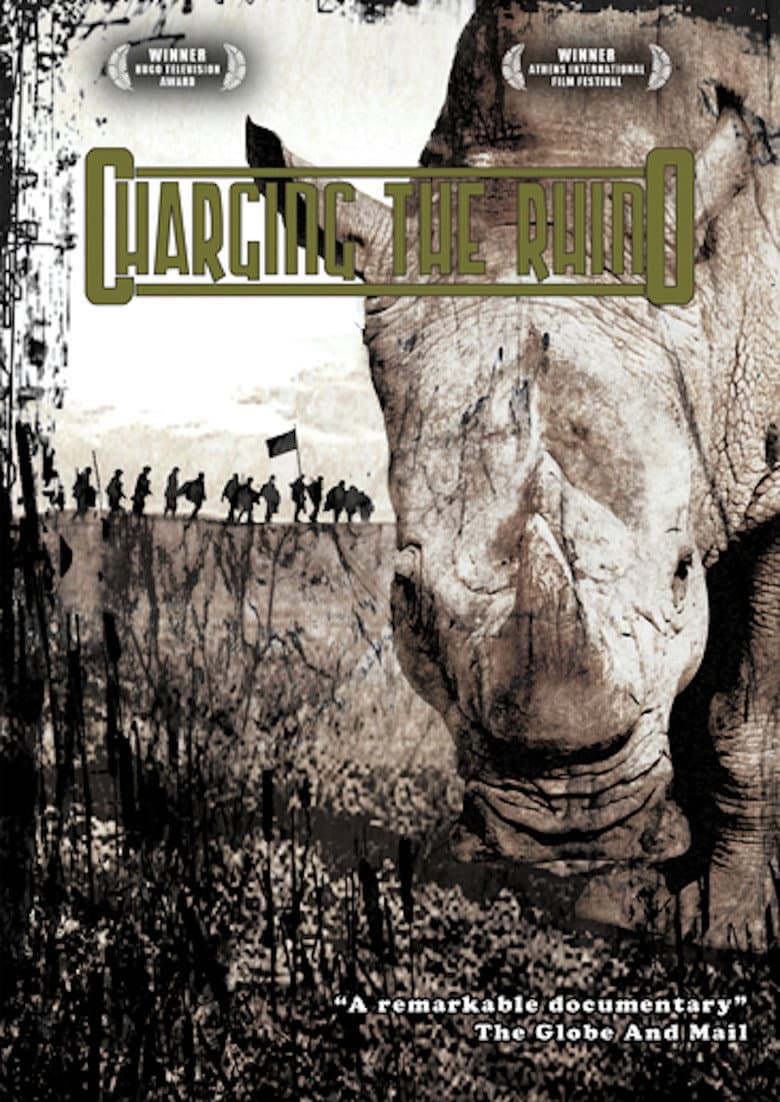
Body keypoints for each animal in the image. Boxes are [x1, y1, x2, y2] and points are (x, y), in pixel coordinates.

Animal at [248, 0, 779, 948]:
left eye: (683, 573)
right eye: (406, 597)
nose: (567, 824)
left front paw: (733, 930)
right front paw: (621, 906)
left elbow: (742, 713)